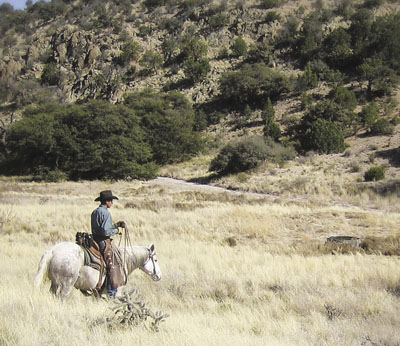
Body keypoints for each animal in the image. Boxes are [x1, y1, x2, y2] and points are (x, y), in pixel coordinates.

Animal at [33, 241, 161, 300]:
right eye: (155, 259)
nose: (159, 276)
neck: (123, 260)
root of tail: (53, 251)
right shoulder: (116, 292)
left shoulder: (97, 294)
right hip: (67, 285)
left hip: (54, 283)